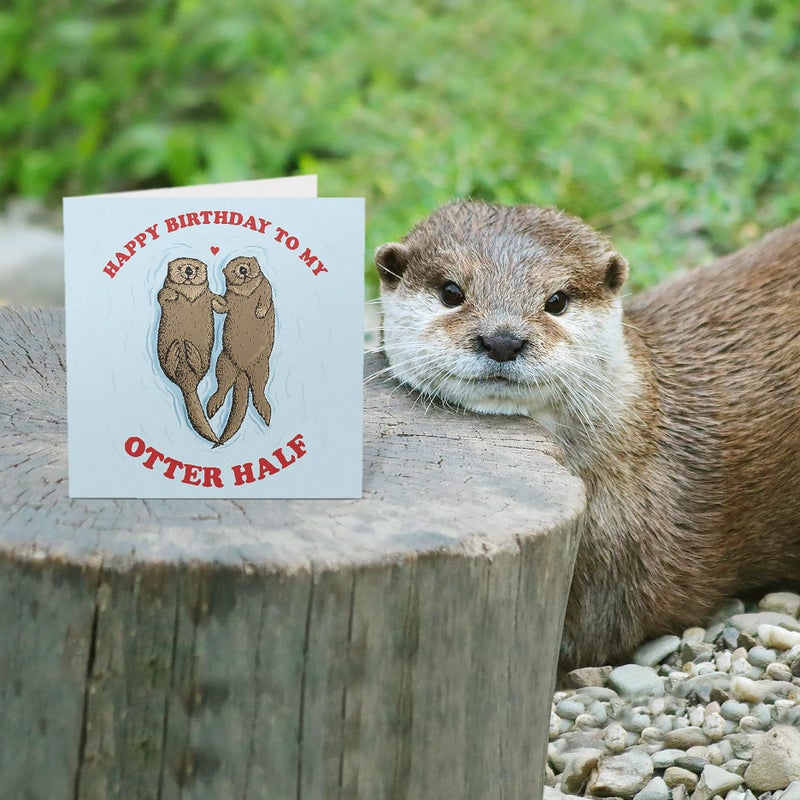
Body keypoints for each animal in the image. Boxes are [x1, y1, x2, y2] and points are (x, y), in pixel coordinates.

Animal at [156, 256, 225, 444]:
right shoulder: (163, 292)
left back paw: (189, 350)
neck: (189, 292)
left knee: (199, 365)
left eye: (196, 267)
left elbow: (216, 302)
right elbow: (162, 294)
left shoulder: (208, 296)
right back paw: (176, 351)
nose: (188, 270)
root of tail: (188, 384)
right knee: (169, 366)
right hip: (163, 354)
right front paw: (173, 294)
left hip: (205, 360)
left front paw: (223, 301)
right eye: (181, 266)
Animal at [207, 255, 275, 447]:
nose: (243, 269)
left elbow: (266, 296)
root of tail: (243, 370)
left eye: (248, 262)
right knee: (223, 383)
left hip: (262, 366)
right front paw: (214, 301)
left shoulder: (265, 286)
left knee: (259, 388)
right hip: (224, 360)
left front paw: (259, 312)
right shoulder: (229, 297)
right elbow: (224, 306)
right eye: (233, 267)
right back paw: (213, 405)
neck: (246, 292)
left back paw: (265, 410)